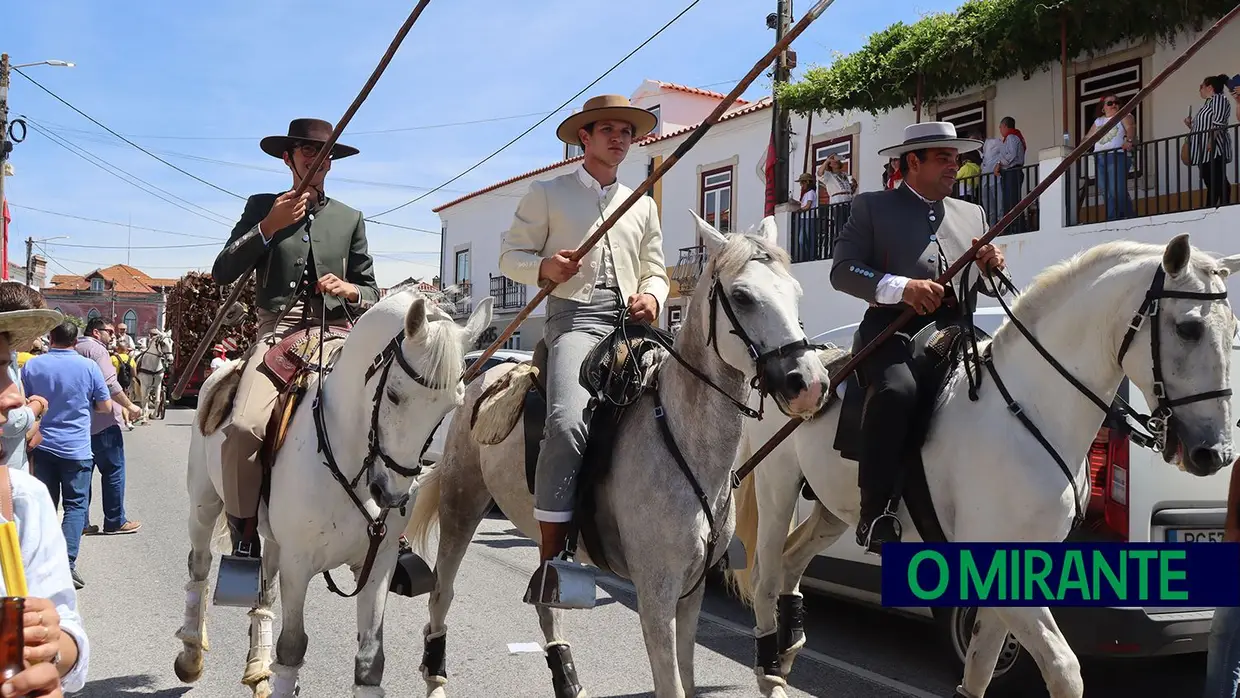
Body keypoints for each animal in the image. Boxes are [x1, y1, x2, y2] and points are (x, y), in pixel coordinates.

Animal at [176, 290, 493, 698]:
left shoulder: (378, 564)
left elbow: (370, 661)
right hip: (204, 504)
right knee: (199, 565)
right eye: (394, 395)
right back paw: (190, 655)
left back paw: (258, 668)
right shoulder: (298, 564)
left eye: (452, 405)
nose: (390, 494)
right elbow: (292, 648)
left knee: (264, 592)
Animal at [406, 214, 833, 698]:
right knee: (442, 592)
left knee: (546, 602)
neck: (683, 438)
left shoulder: (691, 593)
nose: (810, 383)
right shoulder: (656, 594)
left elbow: (686, 678)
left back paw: (565, 674)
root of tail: (482, 374)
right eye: (742, 296)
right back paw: (436, 676)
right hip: (461, 505)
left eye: (796, 292)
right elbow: (671, 684)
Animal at [724, 234, 1240, 698]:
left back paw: (788, 650)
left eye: (1232, 330)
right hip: (776, 487)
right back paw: (769, 669)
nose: (1213, 453)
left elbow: (980, 667)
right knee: (767, 573)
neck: (1032, 407)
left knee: (791, 559)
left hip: (835, 507)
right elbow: (1064, 670)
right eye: (1189, 328)